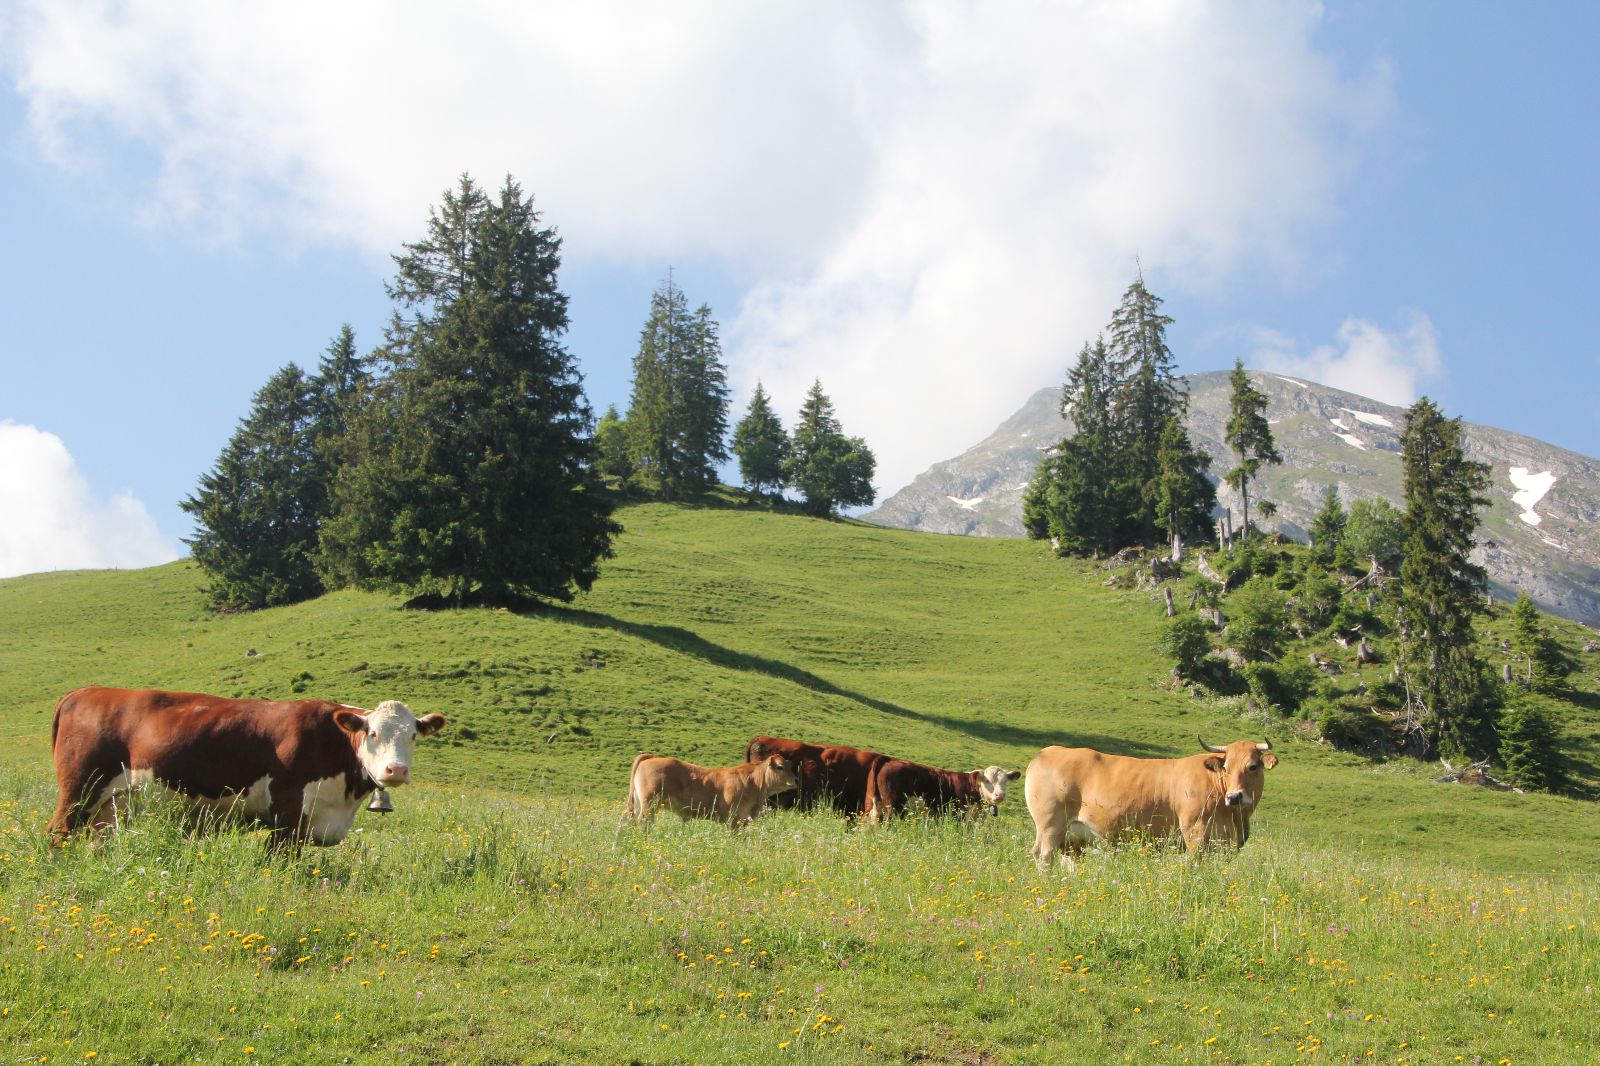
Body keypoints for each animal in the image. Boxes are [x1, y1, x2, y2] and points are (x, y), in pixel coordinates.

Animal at [48, 687, 445, 847]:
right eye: (373, 733)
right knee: (59, 832)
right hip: (80, 789)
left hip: (111, 805)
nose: (395, 771)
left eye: (413, 736)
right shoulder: (287, 810)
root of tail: (86, 691)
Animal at [625, 752, 799, 828]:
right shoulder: (734, 817)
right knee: (644, 821)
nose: (796, 780)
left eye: (790, 766)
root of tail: (653, 757)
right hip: (649, 803)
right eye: (780, 767)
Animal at [867, 759, 1020, 822]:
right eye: (988, 780)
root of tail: (888, 761)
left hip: (878, 805)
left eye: (1005, 781)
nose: (1000, 795)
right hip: (893, 807)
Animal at [1025, 737, 1278, 864]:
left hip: (1071, 838)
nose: (1234, 796)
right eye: (1226, 767)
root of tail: (1049, 751)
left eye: (1252, 766)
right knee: (1044, 856)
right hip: (1050, 825)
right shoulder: (1195, 835)